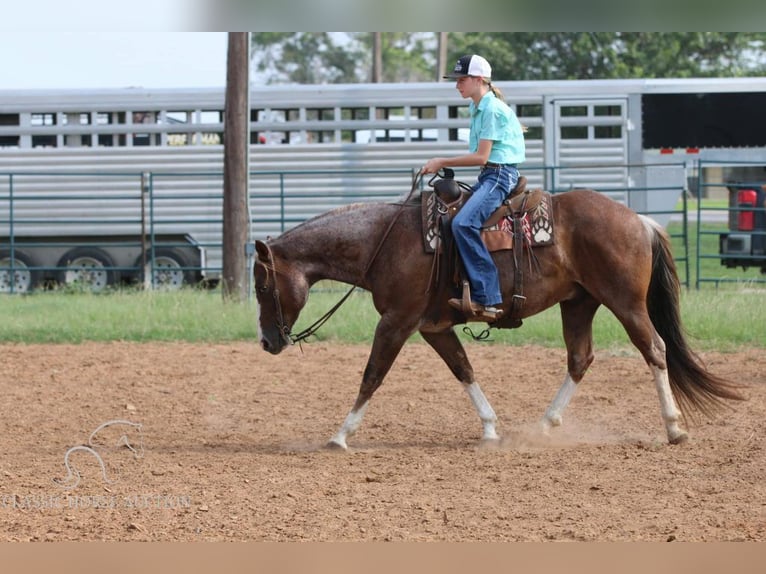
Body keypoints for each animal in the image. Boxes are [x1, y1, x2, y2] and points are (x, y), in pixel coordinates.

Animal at [255, 177, 748, 450]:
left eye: (262, 285)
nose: (267, 341)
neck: (386, 240)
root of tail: (639, 220)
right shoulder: (432, 327)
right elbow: (464, 369)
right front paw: (491, 429)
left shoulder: (396, 322)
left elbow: (371, 375)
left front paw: (340, 435)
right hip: (579, 303)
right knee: (580, 358)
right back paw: (545, 426)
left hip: (625, 303)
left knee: (655, 349)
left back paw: (674, 428)